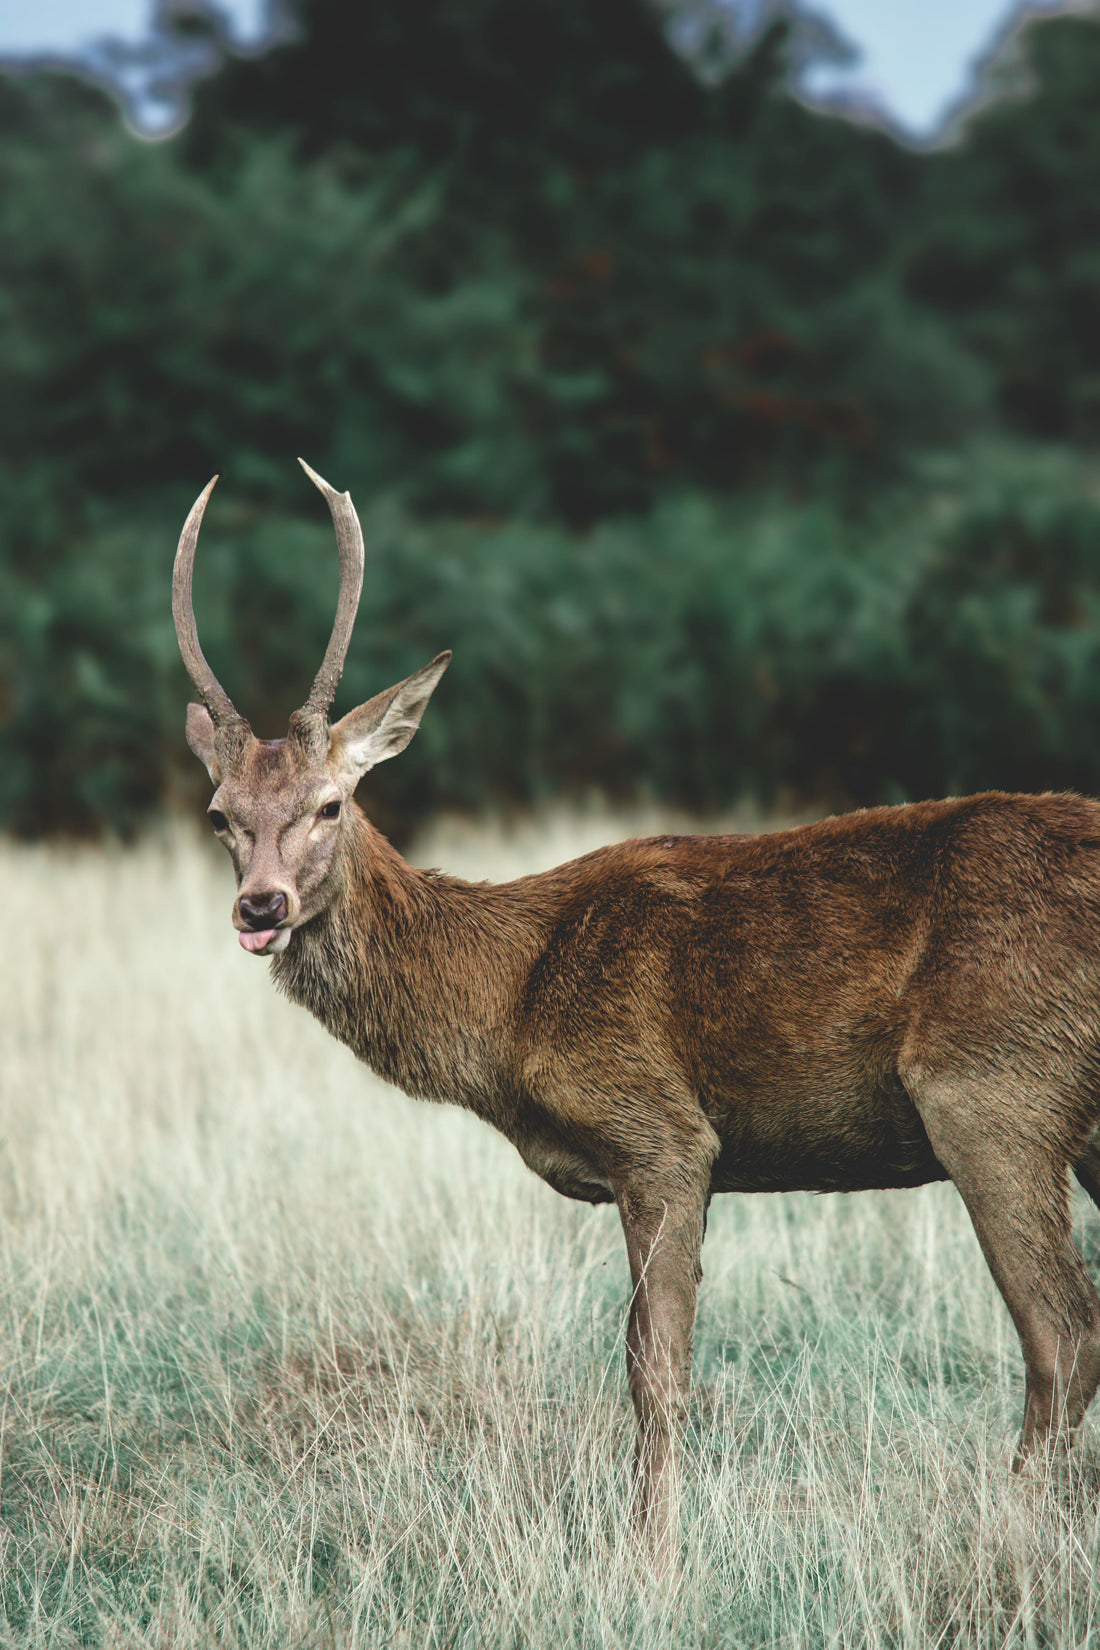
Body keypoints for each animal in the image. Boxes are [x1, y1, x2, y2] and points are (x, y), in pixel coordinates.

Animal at [175, 460, 1100, 1568]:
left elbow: (653, 1370)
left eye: (331, 804)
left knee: (1063, 1334)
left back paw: (1004, 1538)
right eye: (220, 815)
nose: (260, 906)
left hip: (993, 1085)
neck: (509, 1005)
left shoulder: (658, 1129)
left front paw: (649, 1553)